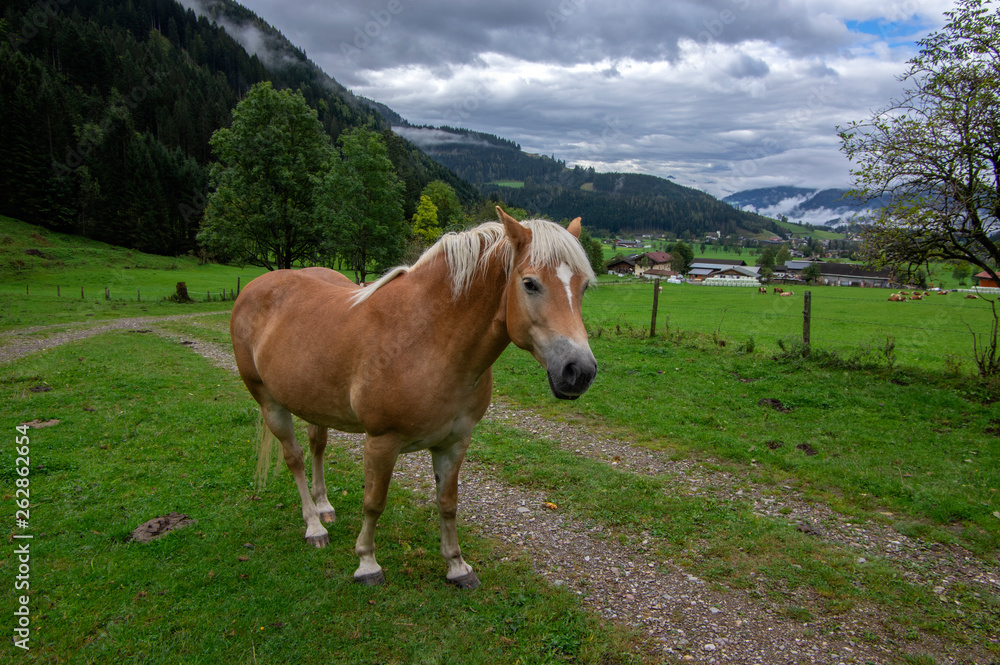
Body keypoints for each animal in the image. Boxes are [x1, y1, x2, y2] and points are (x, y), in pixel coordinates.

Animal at [230, 206, 596, 588]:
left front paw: (457, 566)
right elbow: (374, 502)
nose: (579, 371)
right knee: (295, 458)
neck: (427, 338)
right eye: (530, 283)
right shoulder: (381, 442)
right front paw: (367, 563)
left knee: (317, 447)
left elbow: (448, 503)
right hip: (269, 402)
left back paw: (324, 508)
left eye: (583, 286)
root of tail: (255, 286)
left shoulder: (454, 443)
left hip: (314, 404)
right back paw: (314, 526)